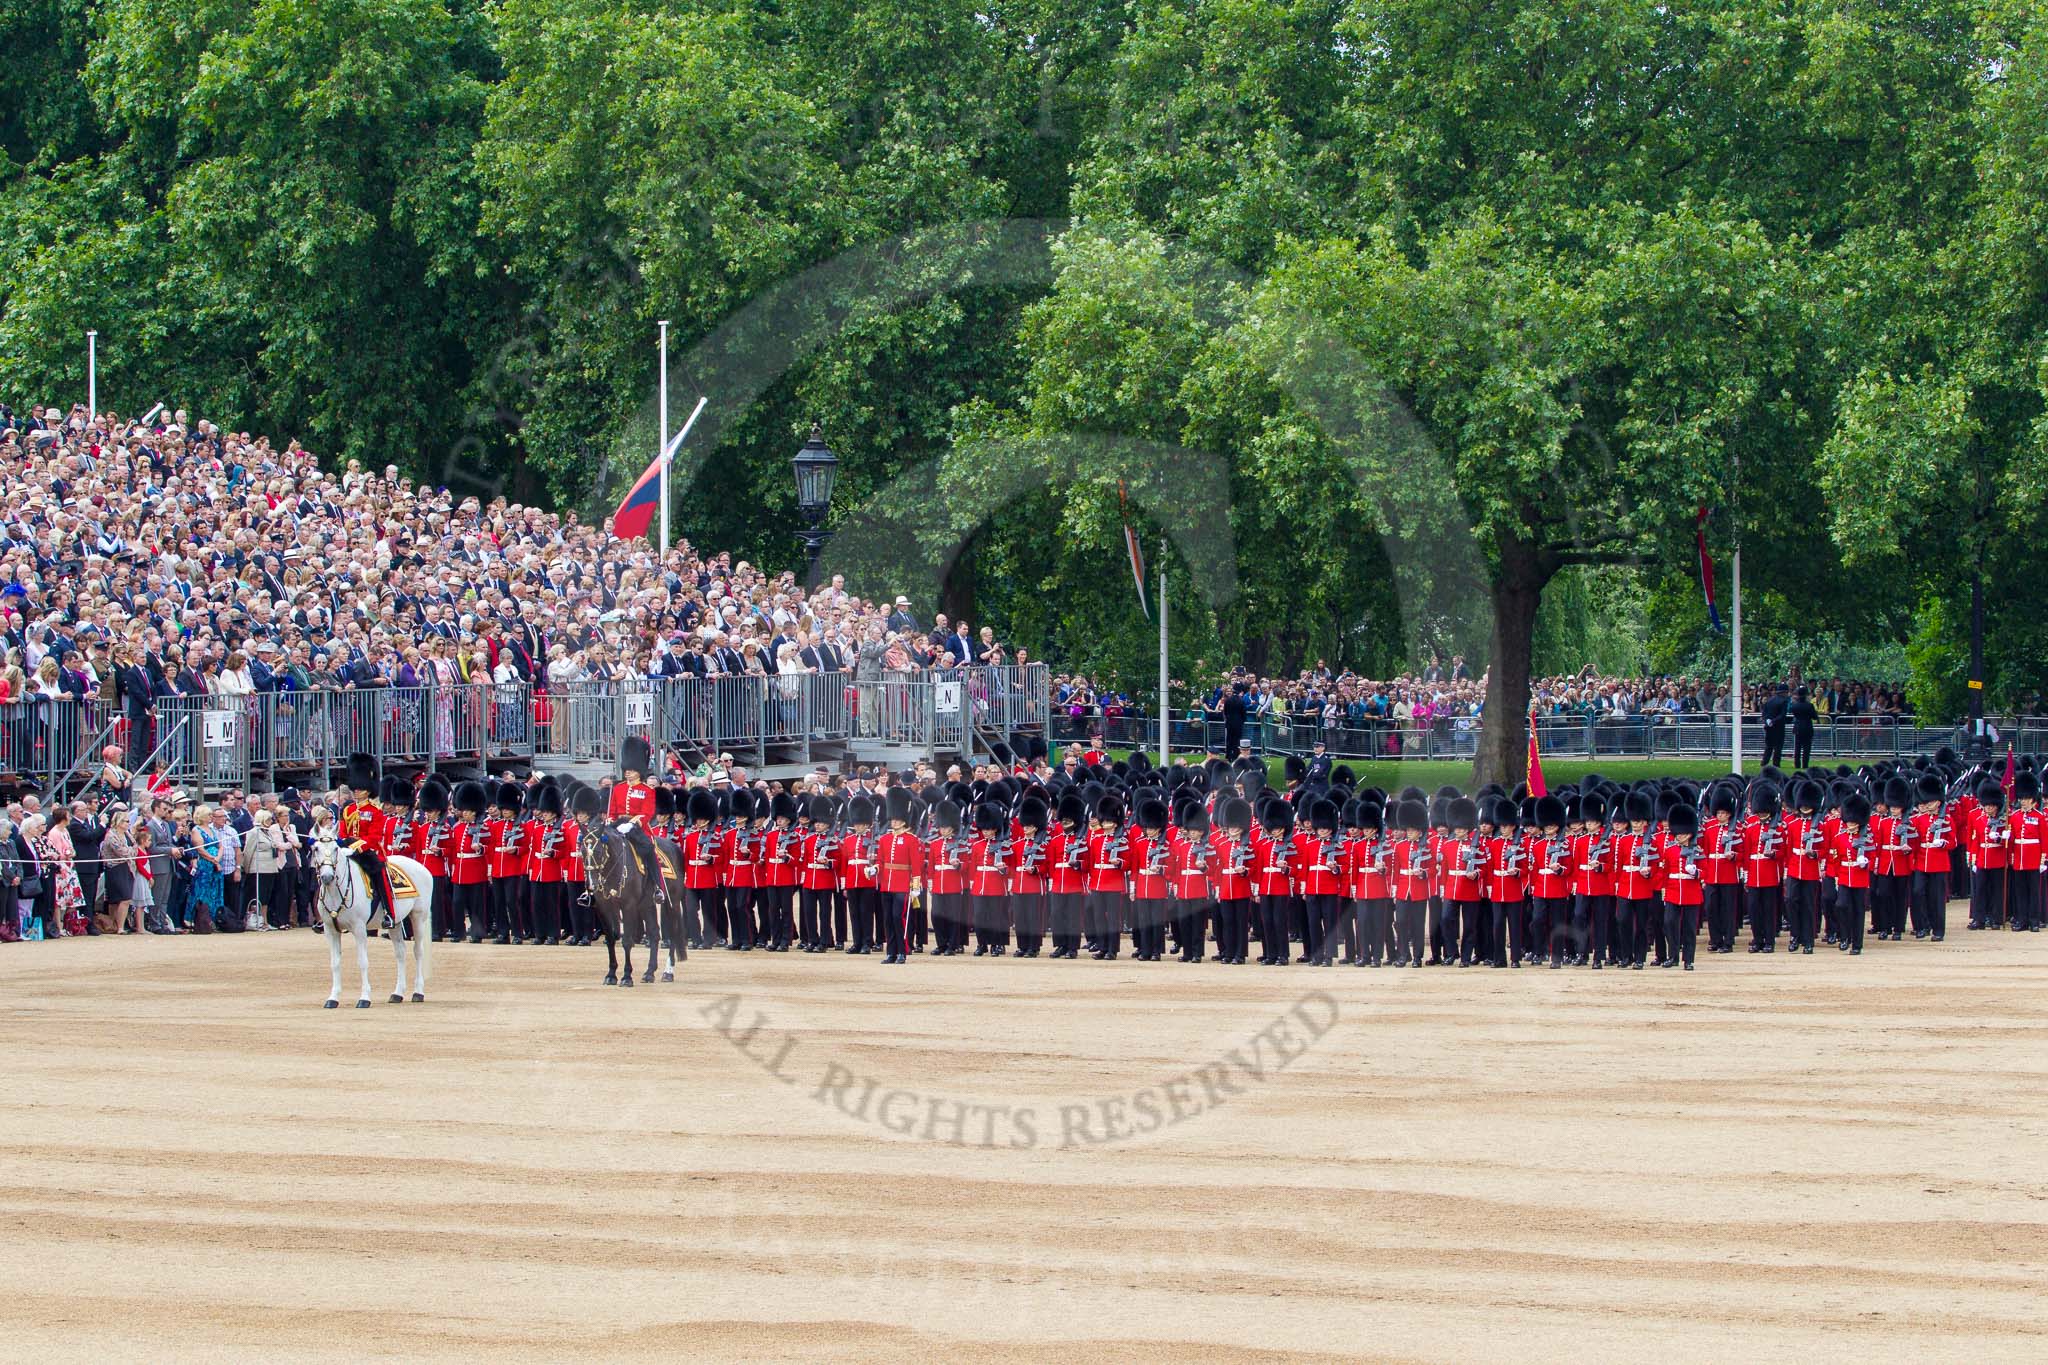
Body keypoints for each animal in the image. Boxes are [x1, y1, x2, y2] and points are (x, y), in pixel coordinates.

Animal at [309, 826, 434, 1010]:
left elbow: (362, 961)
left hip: (419, 916)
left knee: (418, 952)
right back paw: (397, 994)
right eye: (315, 848)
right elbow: (335, 963)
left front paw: (364, 998)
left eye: (336, 849)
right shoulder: (330, 930)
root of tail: (420, 866)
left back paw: (418, 992)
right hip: (396, 921)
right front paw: (333, 998)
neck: (336, 892)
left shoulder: (359, 929)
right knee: (400, 953)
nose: (327, 877)